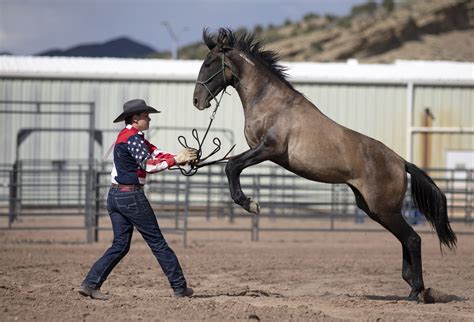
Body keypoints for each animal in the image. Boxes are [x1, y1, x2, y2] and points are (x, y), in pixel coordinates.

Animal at [192, 27, 456, 302]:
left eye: (209, 63)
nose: (197, 100)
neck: (272, 104)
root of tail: (401, 162)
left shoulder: (269, 149)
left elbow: (231, 166)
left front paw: (250, 204)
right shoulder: (263, 151)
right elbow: (232, 166)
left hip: (384, 209)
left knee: (413, 239)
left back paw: (416, 291)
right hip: (375, 209)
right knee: (406, 239)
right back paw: (412, 285)